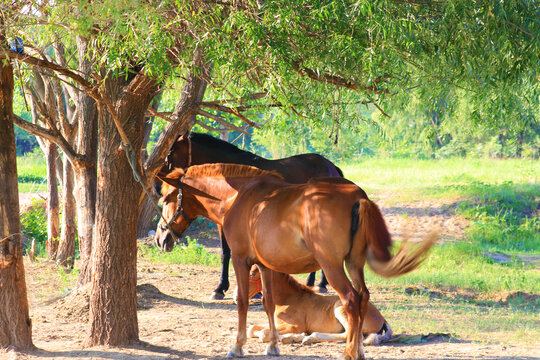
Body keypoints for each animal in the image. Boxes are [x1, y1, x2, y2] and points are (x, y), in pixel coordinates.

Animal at [157, 132, 342, 298]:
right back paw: (312, 282)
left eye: (169, 155)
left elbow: (229, 253)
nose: (157, 182)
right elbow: (225, 253)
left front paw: (222, 288)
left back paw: (321, 284)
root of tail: (332, 167)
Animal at [236, 268, 392, 346]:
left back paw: (308, 338)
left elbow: (263, 333)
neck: (287, 299)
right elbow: (252, 328)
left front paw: (293, 336)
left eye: (252, 274)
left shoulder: (296, 325)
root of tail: (382, 318)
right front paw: (292, 337)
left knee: (351, 335)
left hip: (340, 308)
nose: (237, 296)